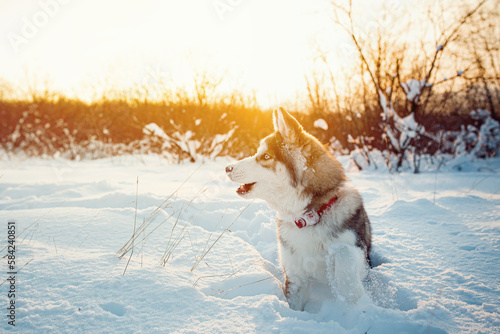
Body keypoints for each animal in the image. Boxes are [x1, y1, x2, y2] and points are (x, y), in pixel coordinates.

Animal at [227, 107, 372, 310]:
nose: (227, 168)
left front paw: (354, 300)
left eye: (266, 156)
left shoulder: (361, 256)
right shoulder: (295, 276)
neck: (310, 216)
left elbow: (344, 254)